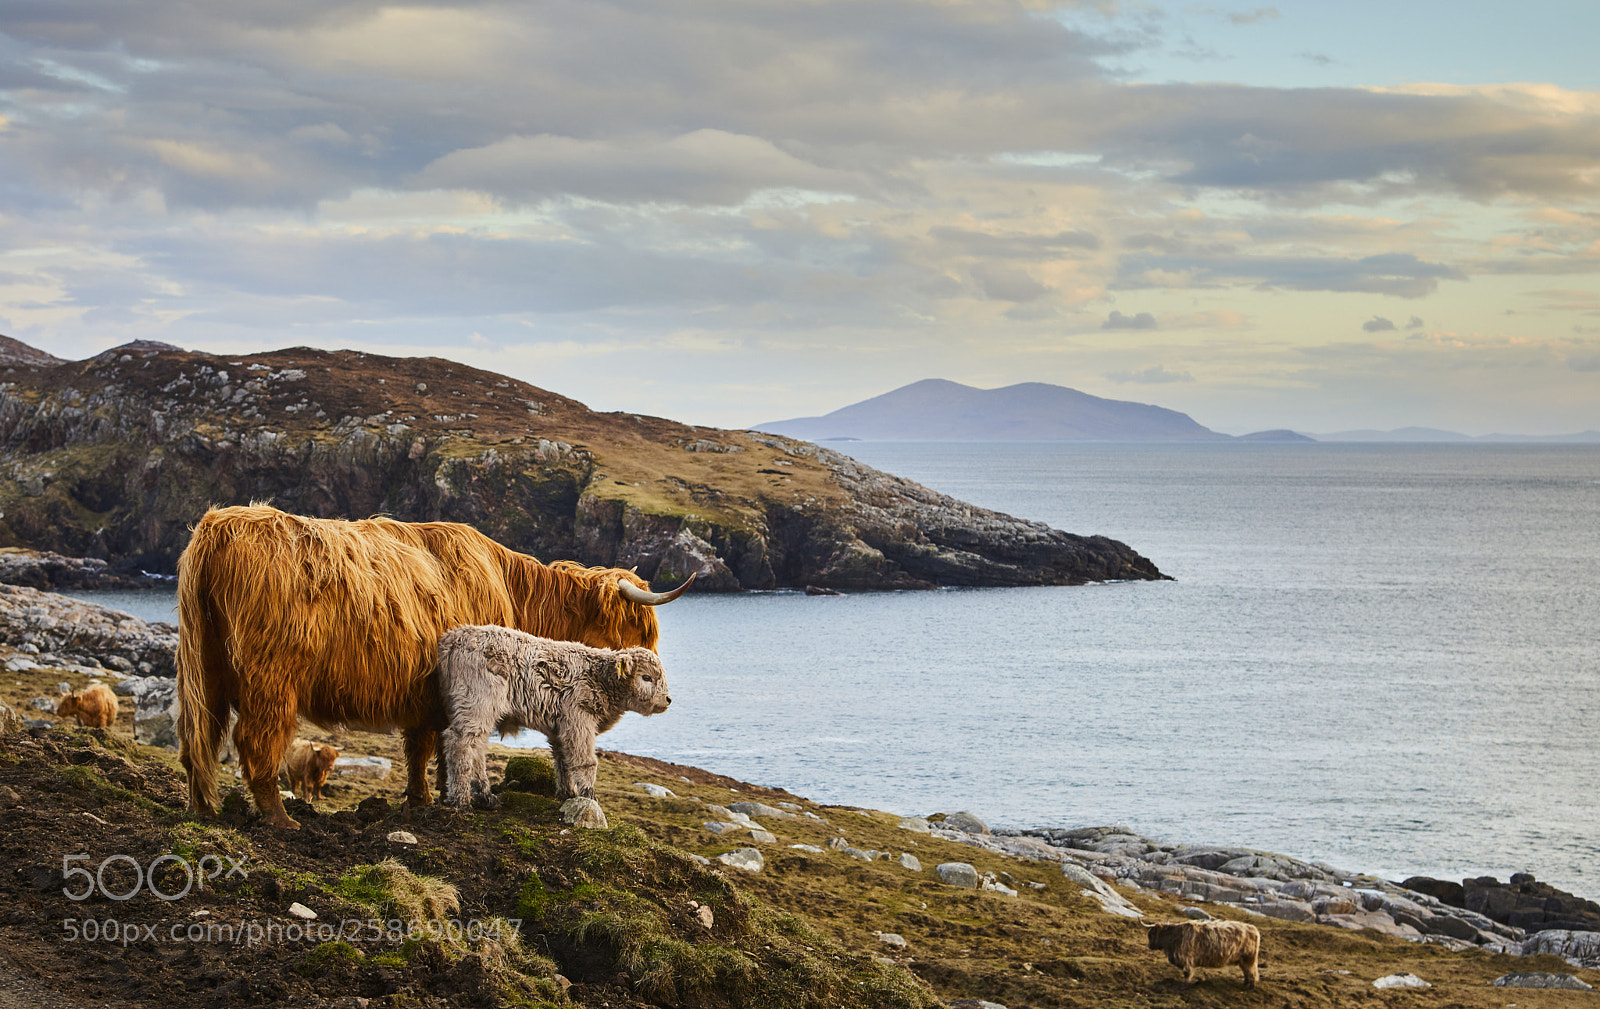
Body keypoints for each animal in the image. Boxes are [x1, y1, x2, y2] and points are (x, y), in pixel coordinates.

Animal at [435, 626, 670, 809]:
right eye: (646, 677)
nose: (668, 699)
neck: (598, 677)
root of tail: (455, 636)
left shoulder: (561, 728)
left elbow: (563, 759)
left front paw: (568, 794)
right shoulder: (579, 721)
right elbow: (585, 761)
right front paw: (590, 798)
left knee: (477, 747)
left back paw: (485, 797)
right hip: (478, 703)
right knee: (461, 742)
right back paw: (460, 800)